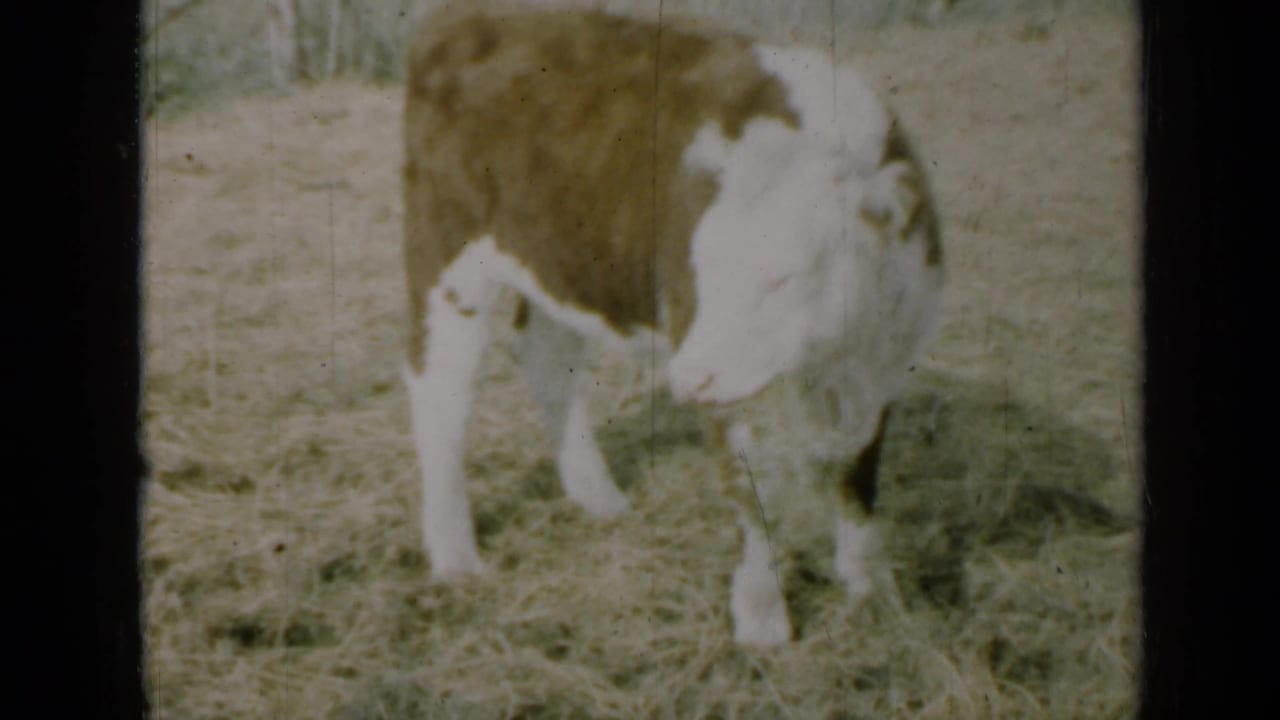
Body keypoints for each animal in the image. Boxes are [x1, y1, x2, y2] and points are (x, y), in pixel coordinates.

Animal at [400, 0, 944, 646]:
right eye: (698, 267)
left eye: (783, 277)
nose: (689, 377)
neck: (829, 359)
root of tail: (461, 17)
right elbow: (751, 492)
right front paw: (762, 621)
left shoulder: (883, 367)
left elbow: (858, 479)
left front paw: (874, 596)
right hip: (448, 256)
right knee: (439, 391)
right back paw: (455, 554)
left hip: (566, 258)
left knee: (546, 358)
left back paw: (596, 496)